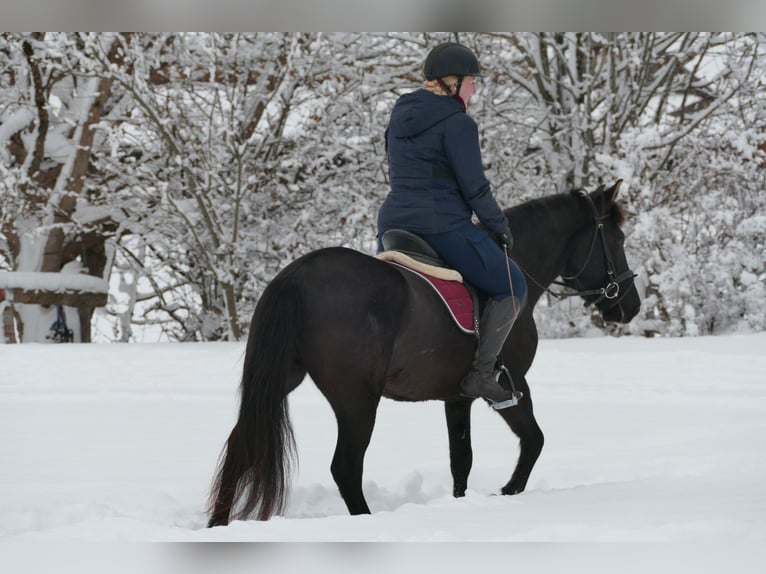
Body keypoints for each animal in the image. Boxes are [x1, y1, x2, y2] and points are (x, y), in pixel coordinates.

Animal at [207, 182, 640, 528]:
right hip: (356, 401)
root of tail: (297, 276)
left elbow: (461, 458)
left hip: (281, 381)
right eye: (618, 240)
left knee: (242, 447)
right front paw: (507, 492)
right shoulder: (511, 384)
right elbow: (534, 440)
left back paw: (218, 525)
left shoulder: (458, 397)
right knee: (345, 468)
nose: (630, 306)